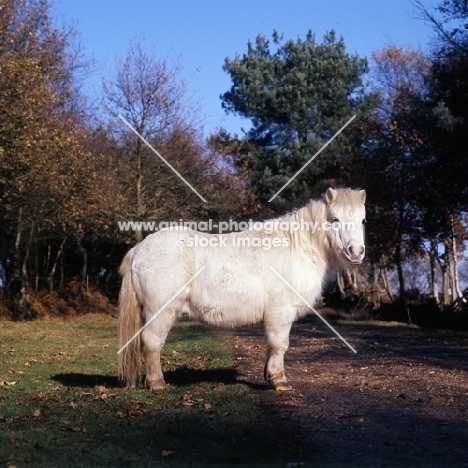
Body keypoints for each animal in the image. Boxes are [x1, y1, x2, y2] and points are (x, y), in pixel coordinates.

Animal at [117, 188, 366, 390]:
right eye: (334, 219)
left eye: (363, 220)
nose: (355, 252)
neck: (297, 247)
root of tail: (139, 248)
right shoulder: (281, 312)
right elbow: (280, 344)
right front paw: (279, 381)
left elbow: (271, 345)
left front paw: (270, 376)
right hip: (161, 312)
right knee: (151, 342)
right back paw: (157, 383)